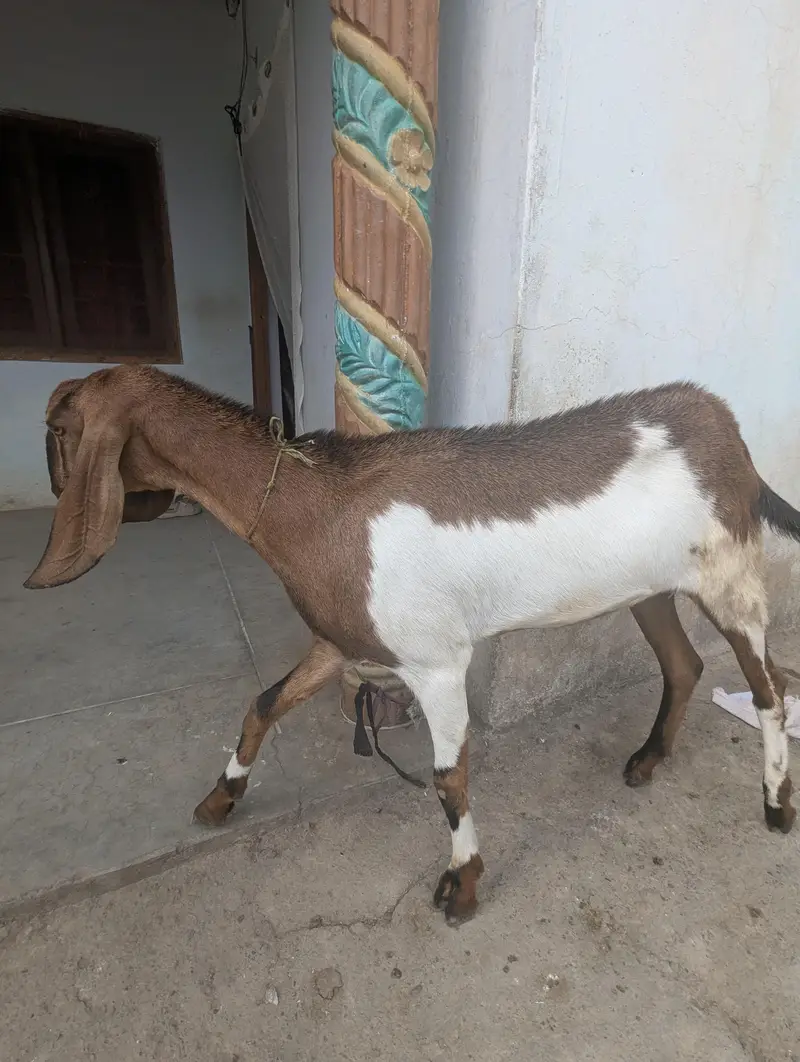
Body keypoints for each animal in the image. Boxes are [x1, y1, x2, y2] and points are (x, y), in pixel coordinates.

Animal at [25, 365, 800, 922]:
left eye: (58, 427)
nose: (52, 488)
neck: (312, 506)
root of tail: (726, 431)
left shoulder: (437, 664)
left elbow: (448, 779)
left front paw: (463, 887)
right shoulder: (344, 640)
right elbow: (264, 702)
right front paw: (220, 799)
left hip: (730, 577)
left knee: (769, 688)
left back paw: (775, 804)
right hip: (650, 589)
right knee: (686, 664)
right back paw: (647, 760)